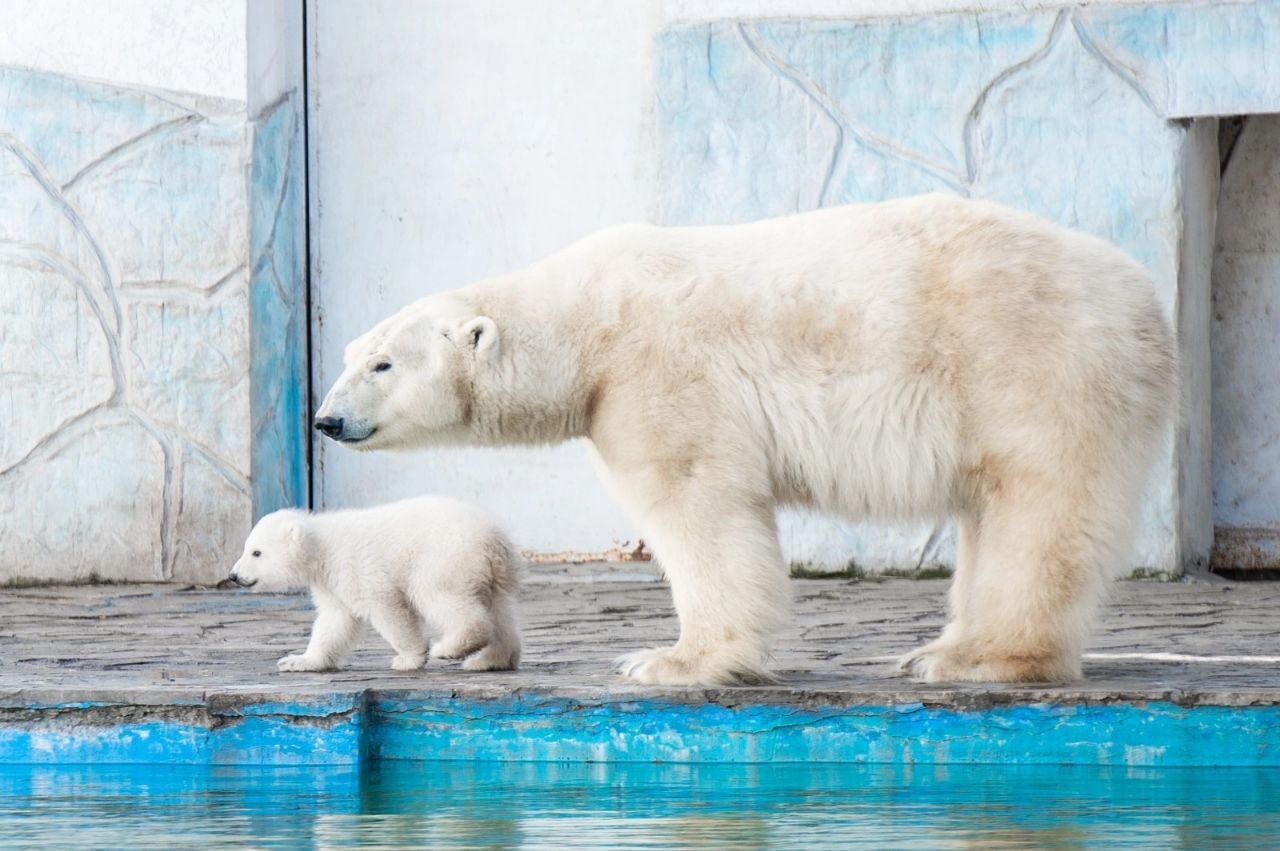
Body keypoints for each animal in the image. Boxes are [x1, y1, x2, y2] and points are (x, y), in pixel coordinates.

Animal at [314, 191, 1172, 685]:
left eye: (383, 362)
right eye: (352, 354)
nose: (326, 420)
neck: (588, 320)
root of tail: (1144, 302)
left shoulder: (657, 373)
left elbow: (700, 505)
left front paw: (671, 660)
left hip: (1029, 365)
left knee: (1037, 506)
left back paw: (984, 658)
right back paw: (945, 648)